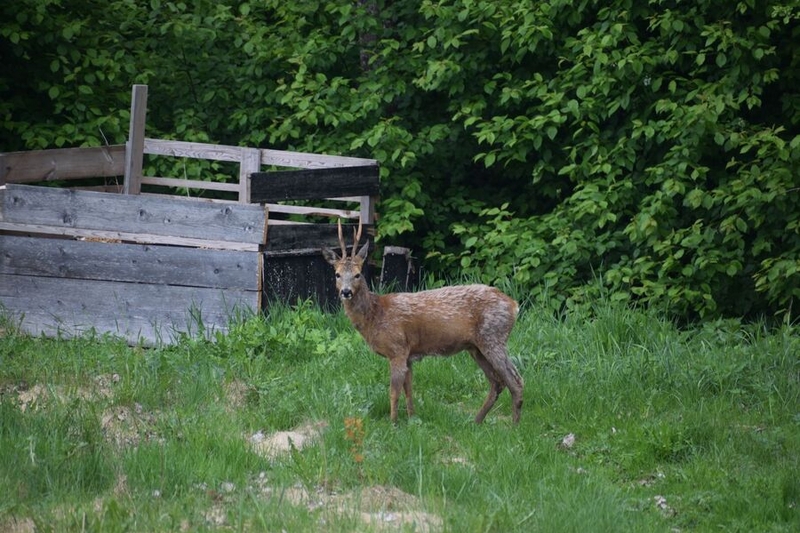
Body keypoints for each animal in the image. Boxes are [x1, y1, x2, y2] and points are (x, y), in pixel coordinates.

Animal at [322, 218, 520, 422]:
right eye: (337, 274)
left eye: (358, 274)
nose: (346, 292)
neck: (375, 316)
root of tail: (514, 305)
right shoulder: (408, 355)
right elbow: (409, 390)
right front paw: (412, 419)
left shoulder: (397, 349)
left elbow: (394, 392)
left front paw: (393, 423)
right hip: (476, 347)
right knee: (497, 382)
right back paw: (476, 422)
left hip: (493, 337)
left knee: (515, 380)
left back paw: (514, 425)